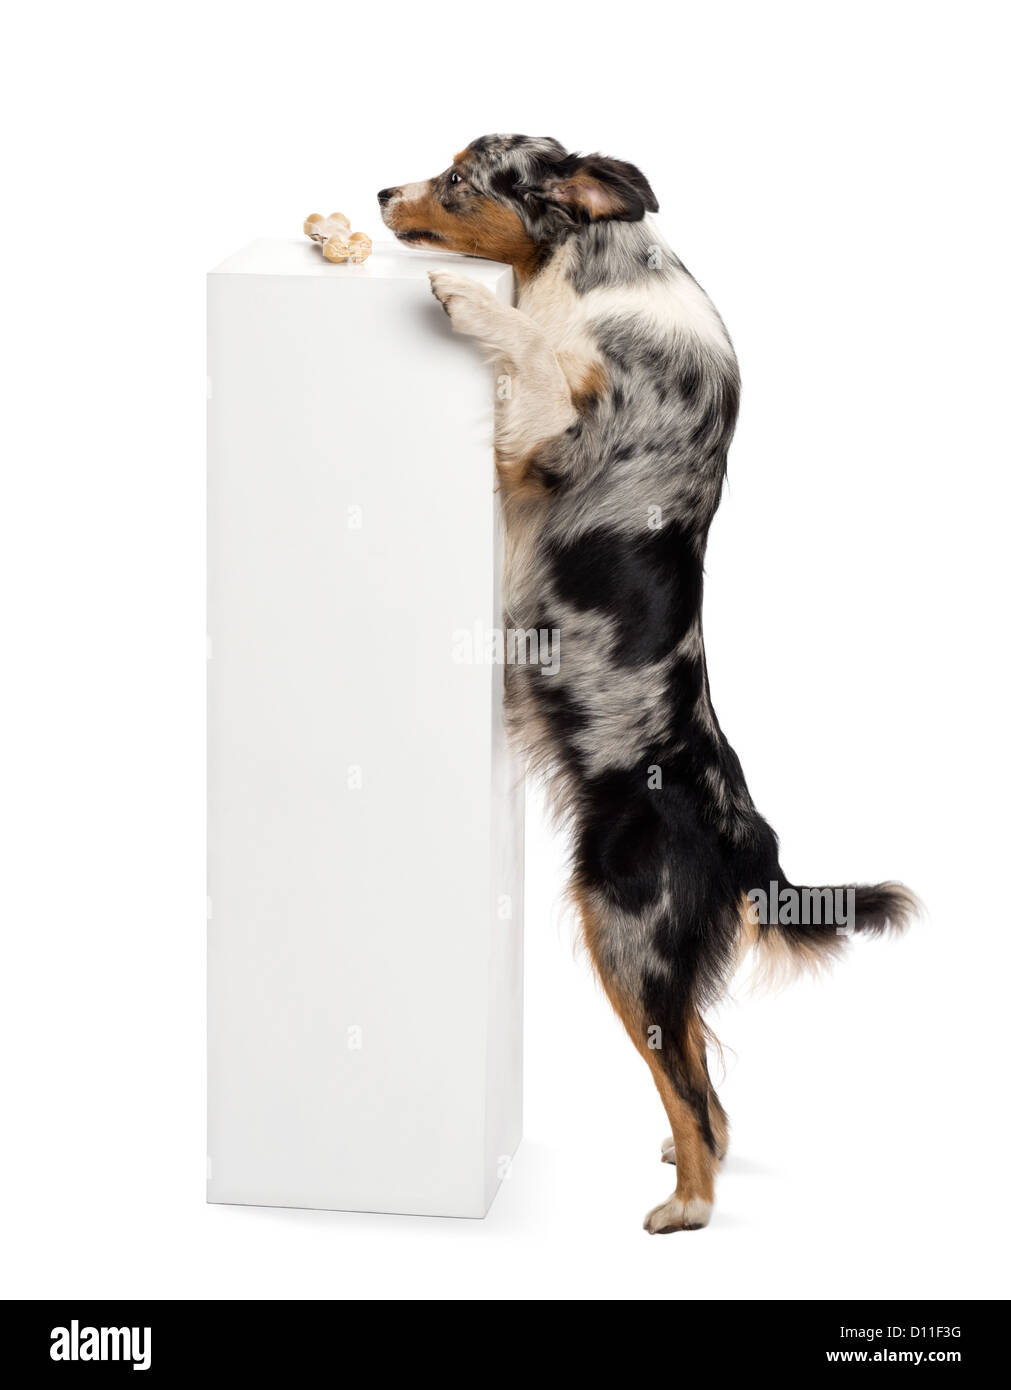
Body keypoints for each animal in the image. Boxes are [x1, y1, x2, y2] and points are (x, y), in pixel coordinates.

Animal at [378, 135, 917, 1234]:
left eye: (459, 176)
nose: (377, 194)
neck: (593, 276)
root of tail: (746, 833)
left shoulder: (549, 439)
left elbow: (534, 354)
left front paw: (464, 298)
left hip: (625, 934)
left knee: (694, 1084)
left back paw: (688, 1207)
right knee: (704, 1071)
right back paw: (684, 1170)